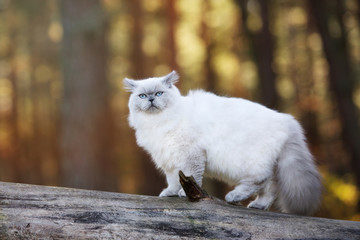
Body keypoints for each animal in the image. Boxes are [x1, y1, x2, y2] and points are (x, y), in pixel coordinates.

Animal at [125, 70, 322, 215]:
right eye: (142, 96)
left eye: (159, 93)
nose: (151, 99)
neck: (157, 123)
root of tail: (287, 120)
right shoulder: (170, 160)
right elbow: (173, 180)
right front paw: (170, 193)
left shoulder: (191, 155)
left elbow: (192, 175)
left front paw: (183, 194)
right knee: (270, 188)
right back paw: (259, 205)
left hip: (250, 163)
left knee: (260, 180)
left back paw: (234, 196)